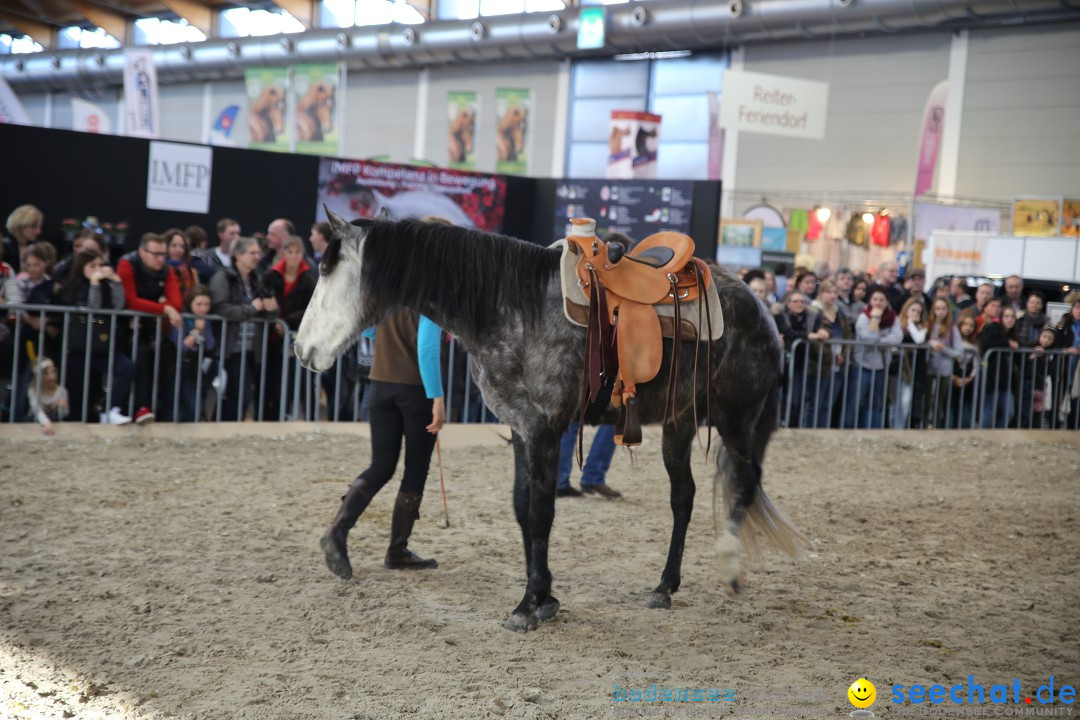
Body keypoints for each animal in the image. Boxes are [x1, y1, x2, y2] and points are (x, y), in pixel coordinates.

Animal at [295, 211, 812, 634]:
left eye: (327, 271)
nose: (301, 350)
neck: (509, 305)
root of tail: (762, 309)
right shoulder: (522, 429)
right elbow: (523, 510)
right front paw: (545, 596)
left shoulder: (544, 429)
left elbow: (542, 513)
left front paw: (527, 606)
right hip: (679, 421)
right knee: (683, 497)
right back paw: (664, 587)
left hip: (736, 418)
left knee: (744, 483)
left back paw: (729, 572)